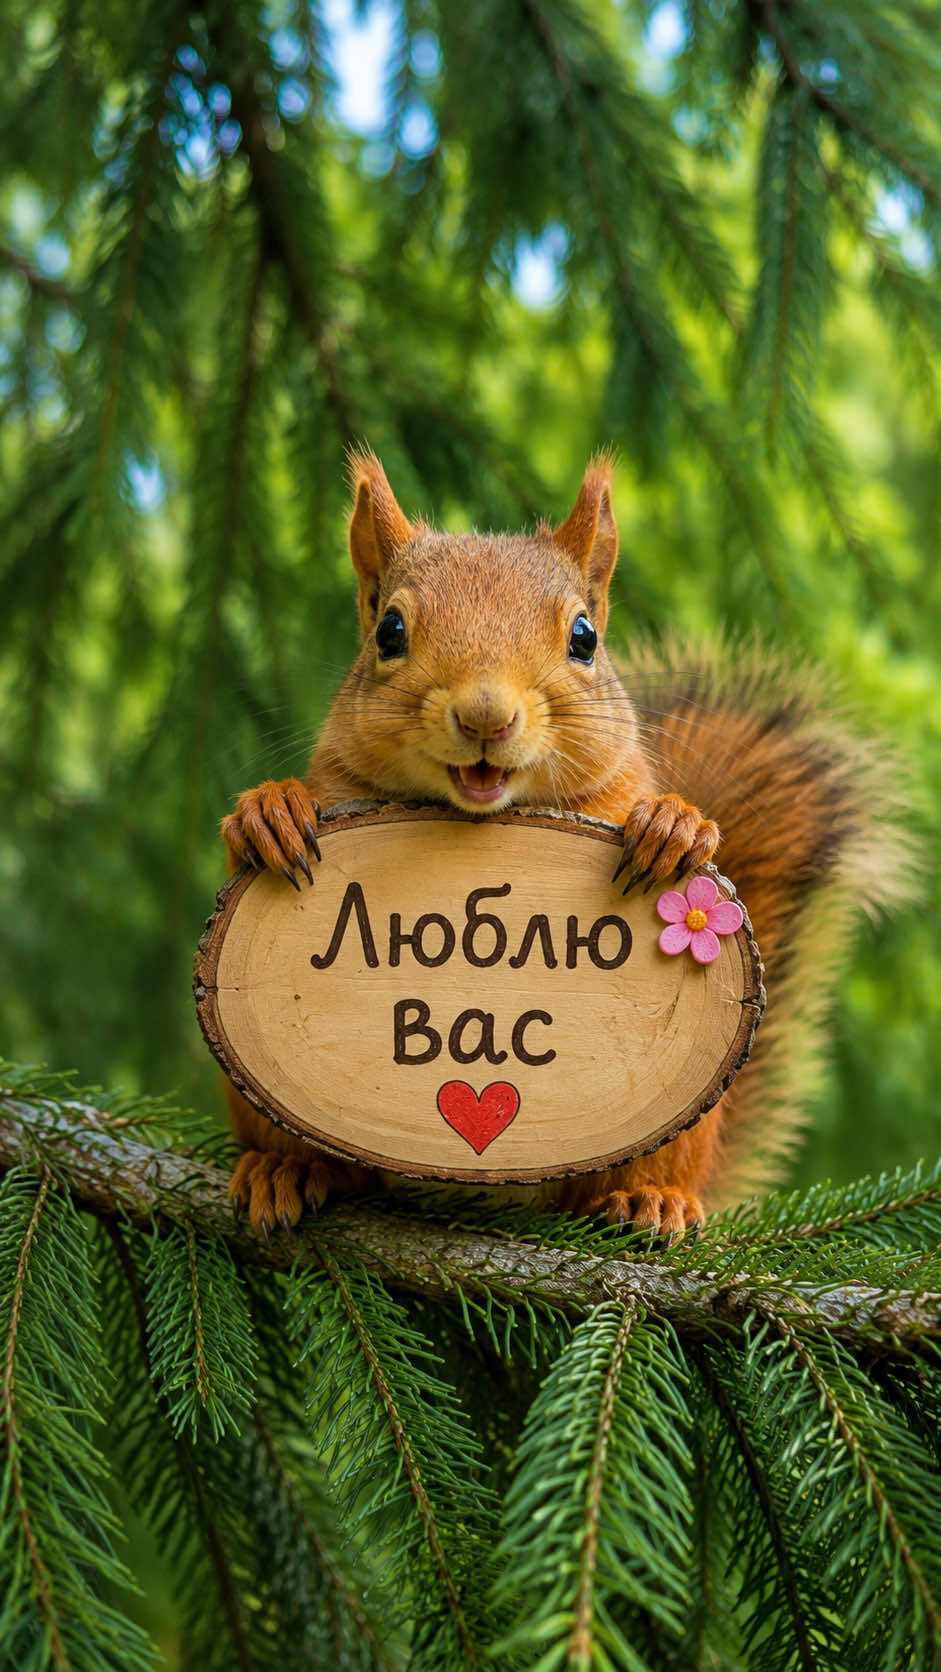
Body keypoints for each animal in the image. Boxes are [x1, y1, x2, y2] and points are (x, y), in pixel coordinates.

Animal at [221, 449, 906, 1237]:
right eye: (388, 630)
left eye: (584, 637)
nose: (485, 714)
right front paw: (268, 813)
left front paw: (673, 826)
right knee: (320, 1160)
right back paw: (287, 1169)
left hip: (678, 1136)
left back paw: (653, 1200)